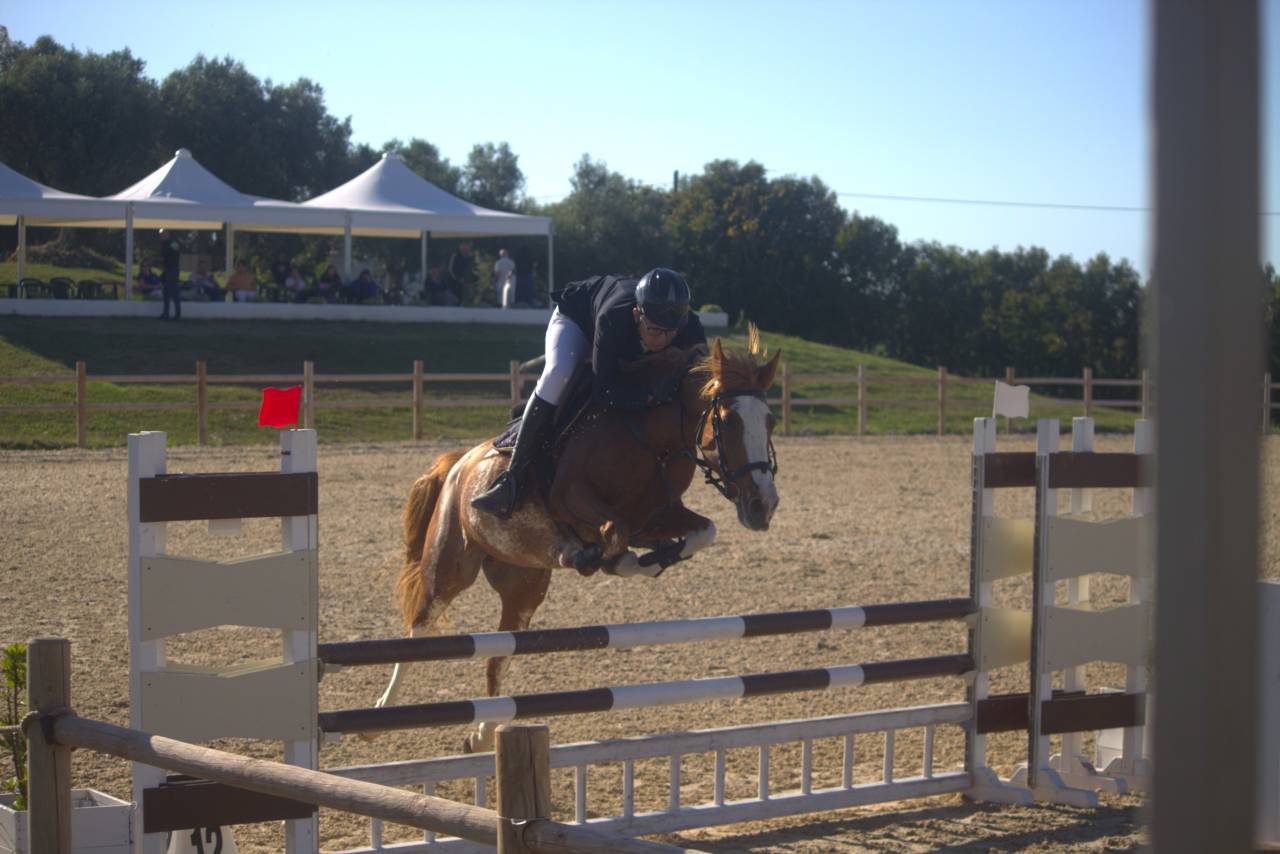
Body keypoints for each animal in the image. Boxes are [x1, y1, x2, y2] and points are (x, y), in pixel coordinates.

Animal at [376, 328, 782, 751]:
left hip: (523, 588)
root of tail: (458, 462)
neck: (649, 437)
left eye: (770, 421)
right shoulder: (570, 498)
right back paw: (383, 710)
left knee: (497, 656)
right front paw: (610, 559)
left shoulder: (654, 517)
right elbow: (614, 531)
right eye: (728, 421)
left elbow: (701, 530)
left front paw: (651, 558)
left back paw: (484, 732)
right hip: (450, 566)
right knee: (419, 626)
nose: (763, 505)